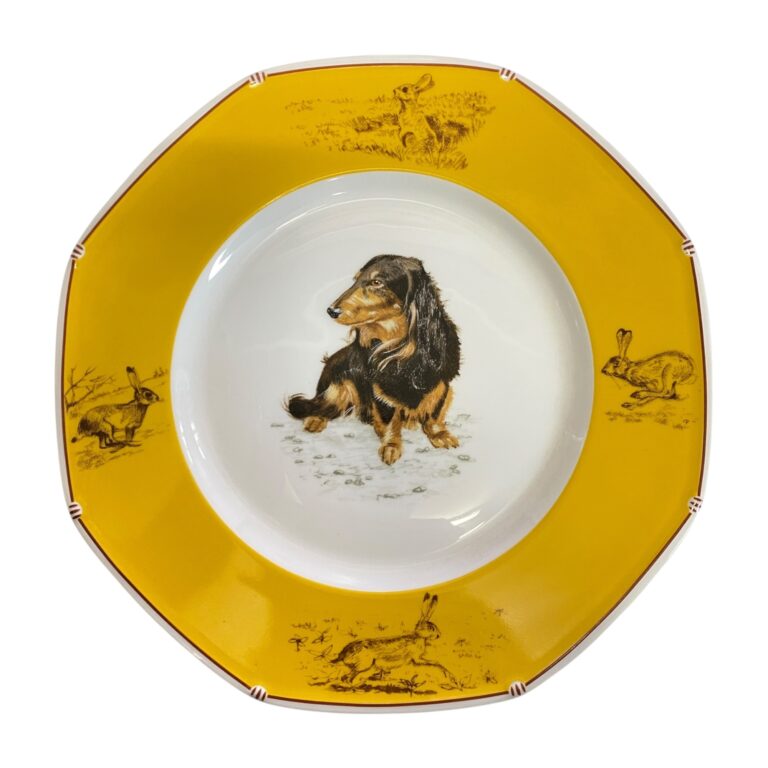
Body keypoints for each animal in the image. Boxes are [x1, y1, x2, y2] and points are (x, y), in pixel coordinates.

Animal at [286, 255, 461, 465]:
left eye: (376, 282)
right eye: (356, 280)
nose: (331, 311)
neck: (401, 349)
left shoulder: (441, 383)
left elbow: (435, 412)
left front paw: (438, 434)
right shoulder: (379, 393)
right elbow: (390, 421)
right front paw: (391, 445)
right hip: (338, 381)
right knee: (324, 403)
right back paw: (316, 419)